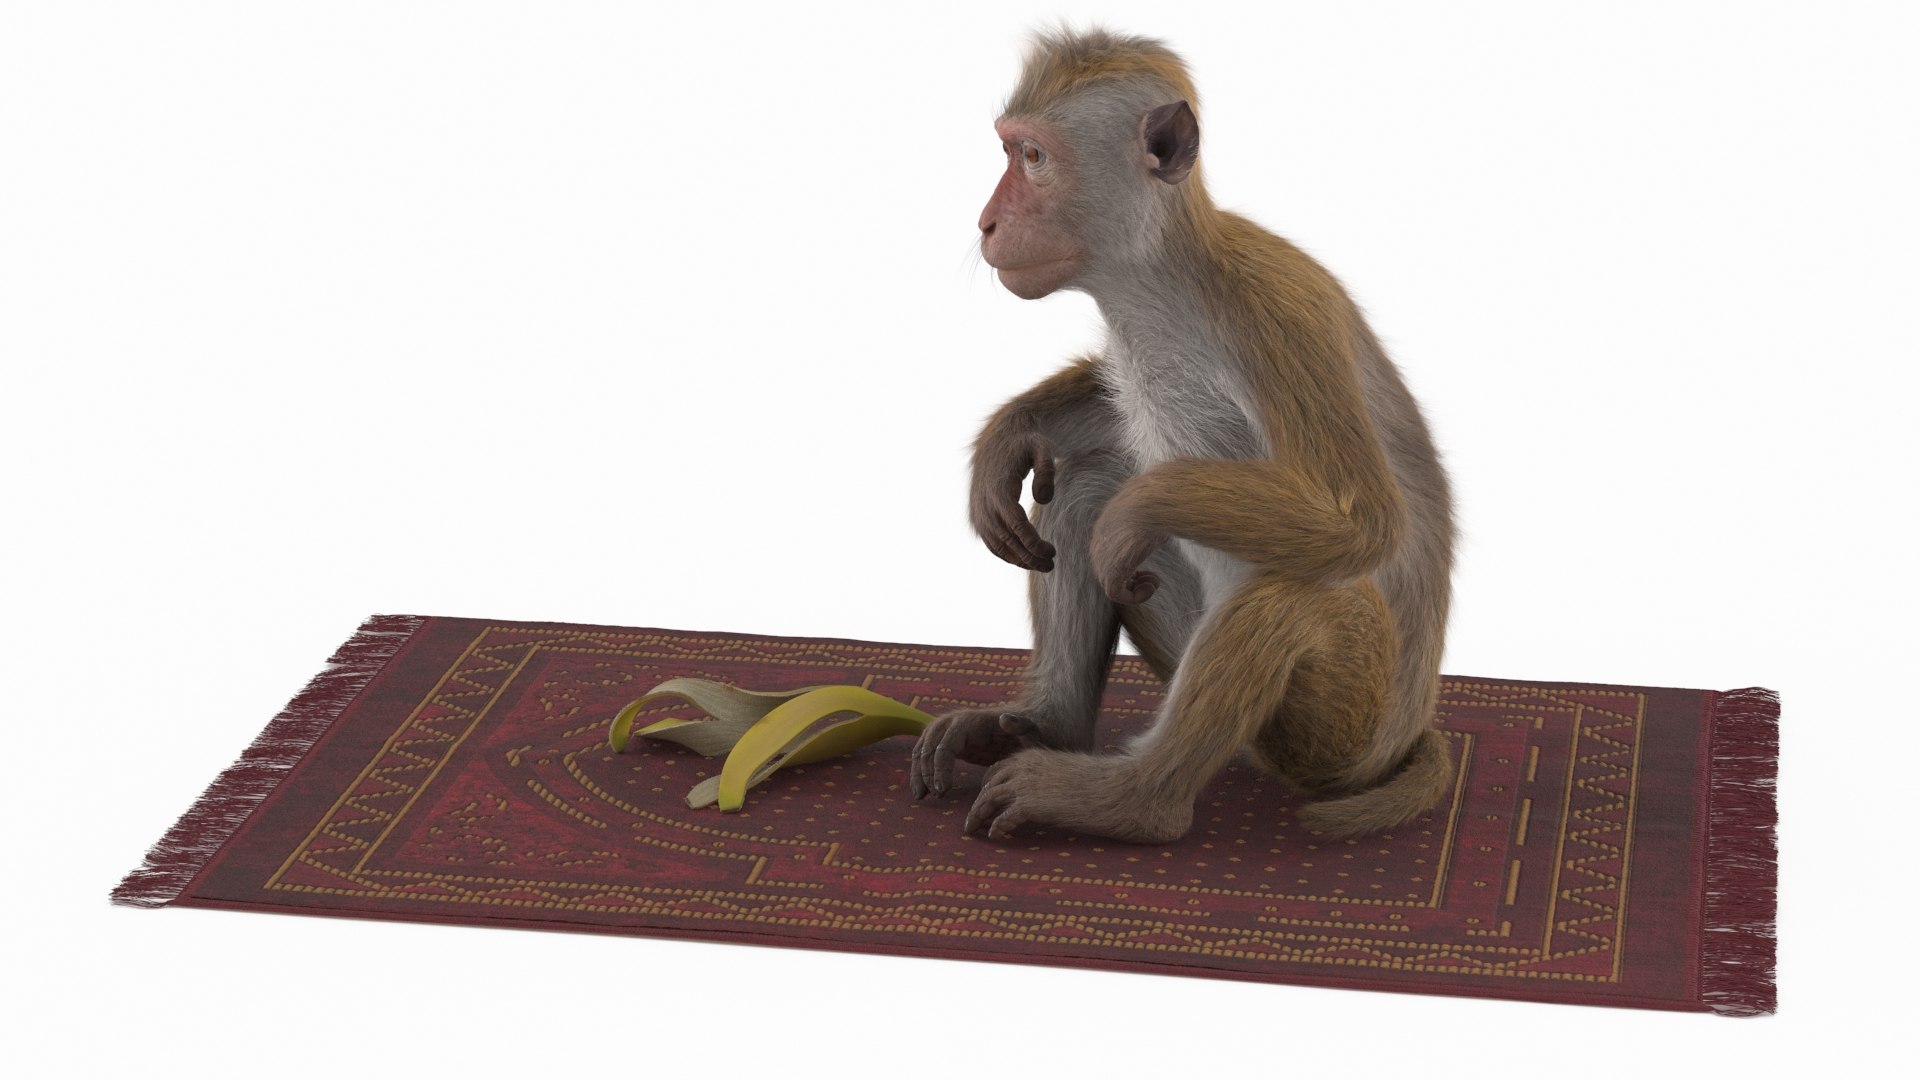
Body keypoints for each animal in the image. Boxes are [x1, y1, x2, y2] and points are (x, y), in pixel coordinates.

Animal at [908, 28, 1456, 844]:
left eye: (1032, 156)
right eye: (1007, 149)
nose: (986, 222)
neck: (1161, 281)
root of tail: (1402, 738)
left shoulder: (1274, 314)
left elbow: (1362, 522)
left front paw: (1133, 510)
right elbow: (1106, 420)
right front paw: (1011, 436)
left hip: (1342, 727)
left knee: (1283, 598)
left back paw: (1133, 802)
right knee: (1084, 491)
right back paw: (1045, 726)